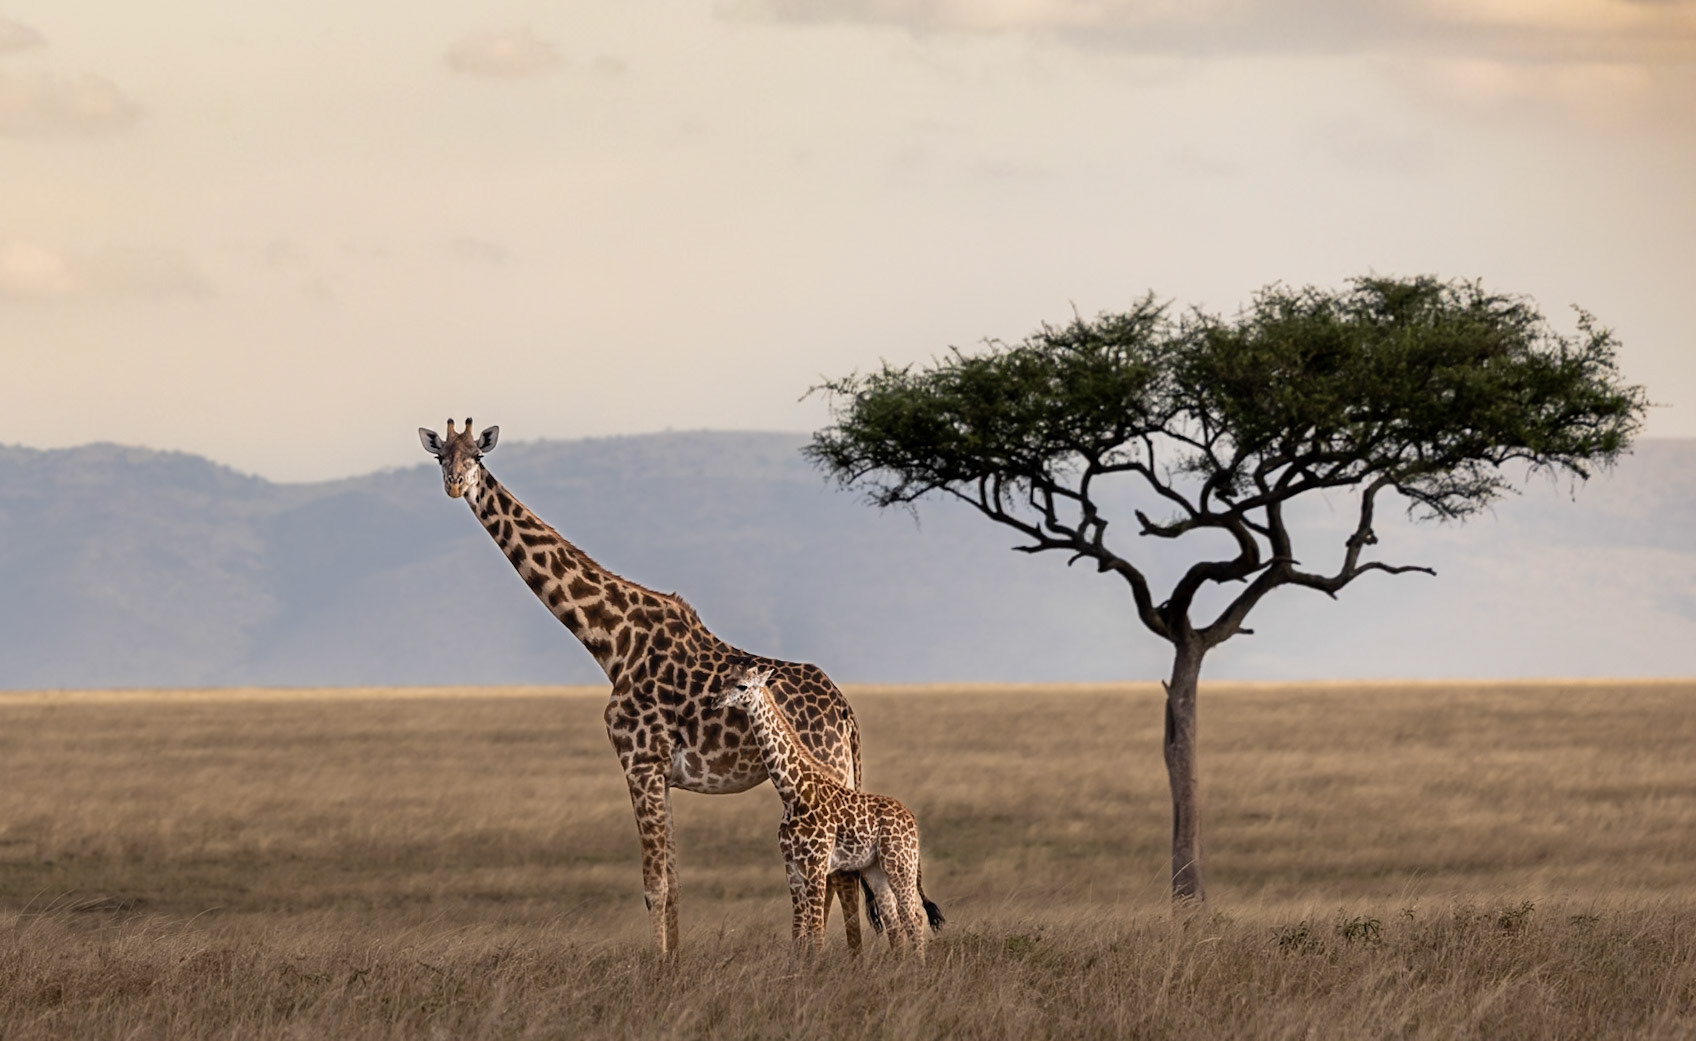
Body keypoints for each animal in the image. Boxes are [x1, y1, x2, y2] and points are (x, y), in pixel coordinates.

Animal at [418, 419, 866, 955]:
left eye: (477, 457)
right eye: (441, 455)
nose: (455, 484)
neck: (612, 641)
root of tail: (845, 712)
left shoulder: (639, 762)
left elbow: (654, 886)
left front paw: (656, 966)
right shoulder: (662, 773)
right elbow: (674, 884)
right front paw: (673, 962)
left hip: (825, 773)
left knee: (838, 877)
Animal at [716, 664, 943, 959]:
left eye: (742, 686)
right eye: (725, 681)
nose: (716, 700)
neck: (792, 792)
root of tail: (912, 819)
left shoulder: (816, 864)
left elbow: (815, 932)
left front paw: (815, 967)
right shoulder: (791, 866)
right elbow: (798, 932)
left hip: (900, 862)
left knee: (913, 916)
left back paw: (918, 966)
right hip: (875, 868)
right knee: (894, 920)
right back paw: (900, 965)